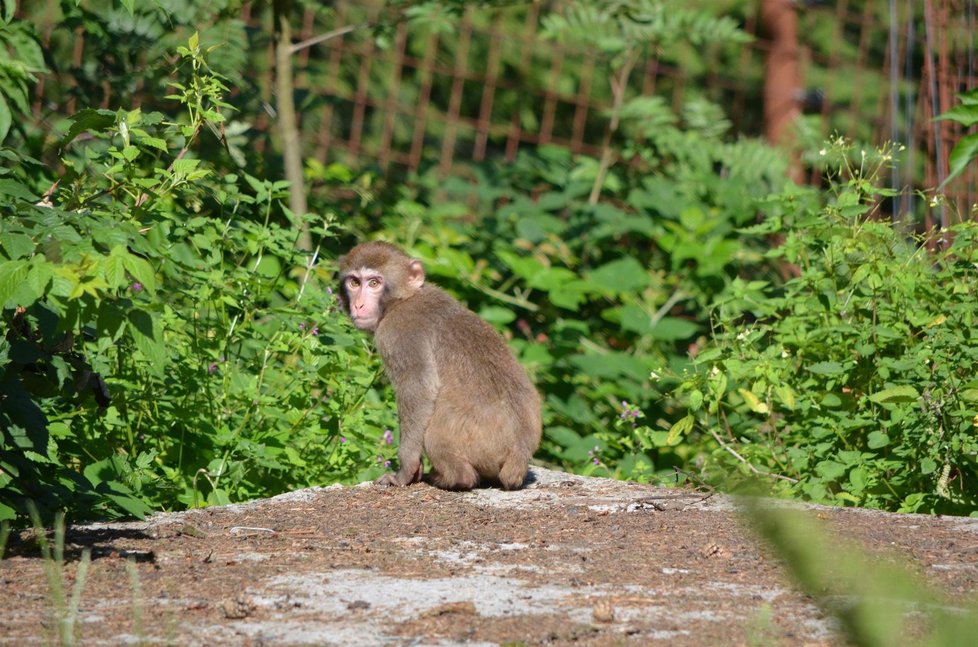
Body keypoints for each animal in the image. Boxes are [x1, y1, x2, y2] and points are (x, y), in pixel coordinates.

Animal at [340, 243, 540, 492]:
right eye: (354, 282)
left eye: (374, 283)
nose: (358, 304)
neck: (403, 300)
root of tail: (520, 452)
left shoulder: (397, 333)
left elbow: (418, 390)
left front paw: (406, 471)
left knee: (433, 431)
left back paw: (454, 478)